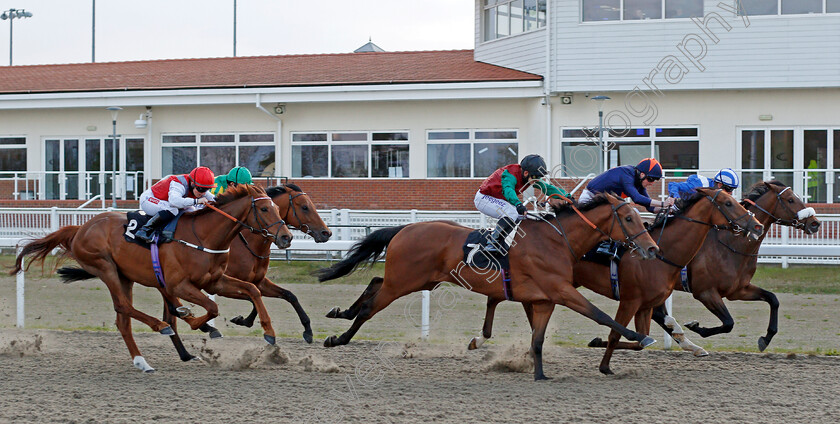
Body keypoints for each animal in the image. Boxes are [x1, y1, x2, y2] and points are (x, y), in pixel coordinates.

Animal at [8, 185, 292, 372]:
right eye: (264, 208)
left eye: (278, 208)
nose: (286, 237)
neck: (204, 235)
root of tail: (80, 228)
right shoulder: (180, 284)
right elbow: (211, 307)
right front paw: (195, 322)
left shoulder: (215, 281)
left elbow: (252, 291)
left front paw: (269, 333)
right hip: (105, 267)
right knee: (124, 306)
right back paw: (161, 326)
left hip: (125, 276)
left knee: (123, 320)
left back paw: (142, 361)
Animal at [316, 194, 664, 382]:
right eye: (629, 219)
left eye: (639, 218)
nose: (652, 249)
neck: (556, 241)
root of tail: (406, 228)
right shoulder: (563, 291)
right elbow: (599, 315)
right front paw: (640, 336)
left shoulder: (544, 299)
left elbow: (538, 339)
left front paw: (539, 373)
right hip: (403, 282)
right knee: (369, 308)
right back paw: (338, 338)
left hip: (417, 279)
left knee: (375, 283)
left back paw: (339, 312)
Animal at [470, 189, 764, 374]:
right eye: (729, 203)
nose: (757, 225)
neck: (665, 254)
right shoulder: (631, 300)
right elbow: (617, 332)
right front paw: (604, 365)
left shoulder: (647, 304)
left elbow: (640, 339)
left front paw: (599, 345)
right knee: (498, 296)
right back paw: (481, 339)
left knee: (505, 298)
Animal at [648, 181, 820, 350]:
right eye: (790, 199)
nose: (815, 223)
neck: (731, 246)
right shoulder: (705, 292)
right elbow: (729, 323)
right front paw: (696, 326)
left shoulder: (738, 289)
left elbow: (773, 299)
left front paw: (766, 338)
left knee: (657, 313)